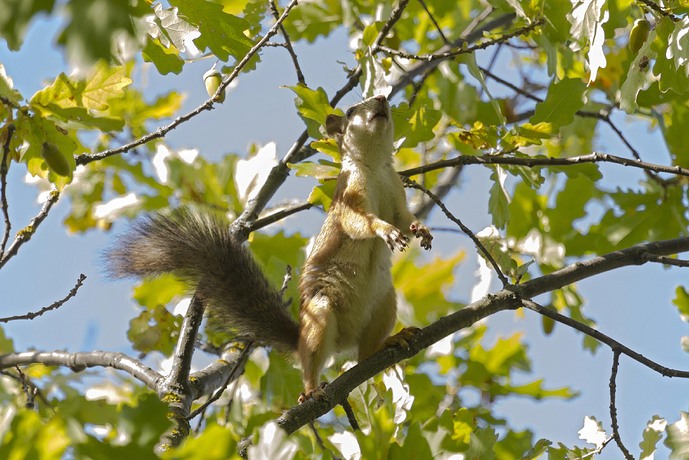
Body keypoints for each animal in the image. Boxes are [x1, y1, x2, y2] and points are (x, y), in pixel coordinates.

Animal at [107, 95, 433, 401]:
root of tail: (340, 344)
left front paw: (420, 230)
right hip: (320, 315)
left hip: (385, 304)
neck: (374, 166)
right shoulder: (348, 199)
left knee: (365, 353)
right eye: (351, 112)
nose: (381, 98)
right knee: (312, 363)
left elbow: (404, 218)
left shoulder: (396, 191)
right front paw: (385, 231)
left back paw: (390, 341)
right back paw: (311, 391)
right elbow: (360, 223)